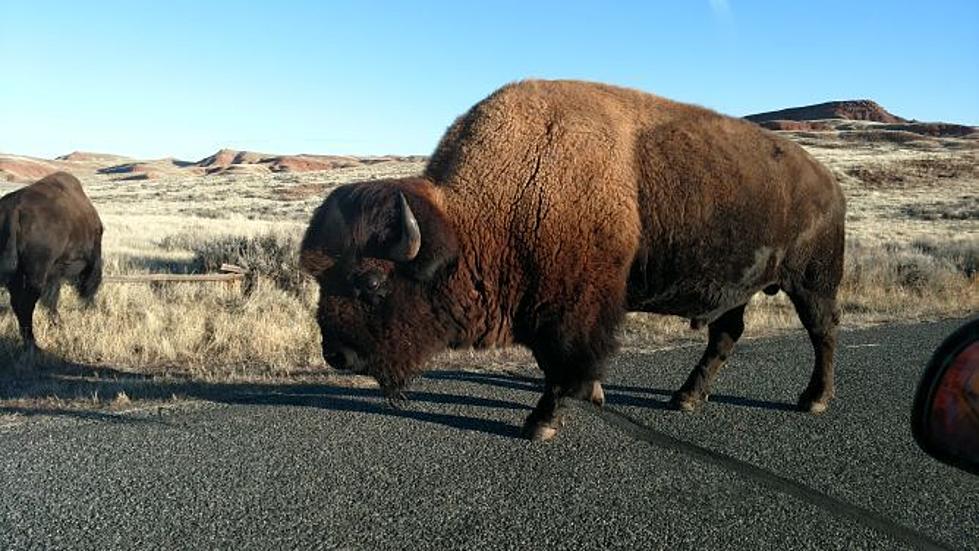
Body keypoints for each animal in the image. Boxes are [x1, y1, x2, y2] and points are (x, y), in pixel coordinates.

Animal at [0, 170, 104, 356]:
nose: (90, 306)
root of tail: (14, 209)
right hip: (35, 274)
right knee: (26, 304)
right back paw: (33, 345)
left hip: (15, 275)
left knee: (17, 303)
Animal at [302, 80, 848, 442]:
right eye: (320, 280)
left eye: (372, 281)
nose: (337, 355)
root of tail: (828, 181)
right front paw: (594, 396)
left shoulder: (570, 309)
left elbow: (562, 365)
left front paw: (541, 423)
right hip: (737, 288)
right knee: (726, 335)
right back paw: (687, 398)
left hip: (811, 281)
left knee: (822, 331)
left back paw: (814, 400)